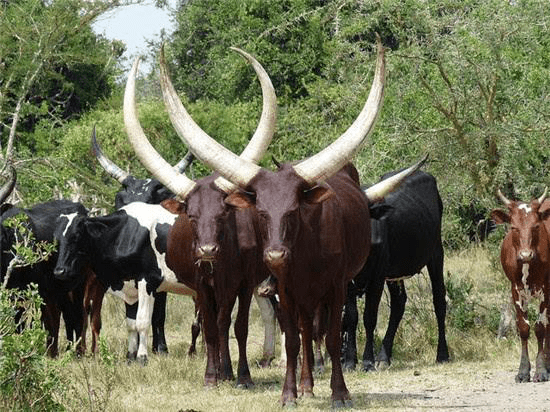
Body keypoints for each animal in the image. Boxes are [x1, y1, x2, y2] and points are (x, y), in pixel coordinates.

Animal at [342, 169, 450, 372]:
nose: (375, 241)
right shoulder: (346, 282)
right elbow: (351, 317)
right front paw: (349, 362)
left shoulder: (377, 277)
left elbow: (369, 317)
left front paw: (367, 361)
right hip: (394, 273)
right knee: (399, 303)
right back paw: (384, 357)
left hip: (436, 253)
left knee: (439, 300)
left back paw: (442, 354)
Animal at [494, 190, 550, 384]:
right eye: (513, 227)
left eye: (536, 226)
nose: (526, 254)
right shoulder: (515, 290)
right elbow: (524, 328)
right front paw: (523, 371)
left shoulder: (545, 289)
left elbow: (540, 328)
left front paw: (541, 370)